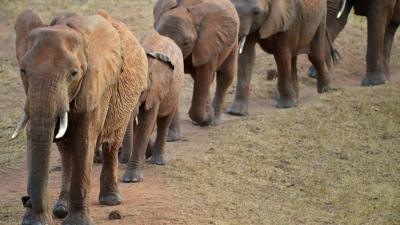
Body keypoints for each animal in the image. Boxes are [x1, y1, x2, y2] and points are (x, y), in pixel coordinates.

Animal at [11, 9, 148, 224]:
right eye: (23, 71)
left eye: (74, 73)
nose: (26, 201)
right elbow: (35, 135)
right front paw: (36, 220)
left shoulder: (98, 85)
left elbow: (84, 140)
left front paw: (77, 222)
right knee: (66, 153)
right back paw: (61, 208)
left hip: (127, 103)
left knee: (111, 146)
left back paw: (111, 200)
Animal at [119, 30, 184, 183]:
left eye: (141, 91)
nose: (121, 158)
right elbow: (137, 125)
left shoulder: (155, 89)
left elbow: (146, 123)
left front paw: (131, 179)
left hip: (175, 91)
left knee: (164, 122)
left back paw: (157, 161)